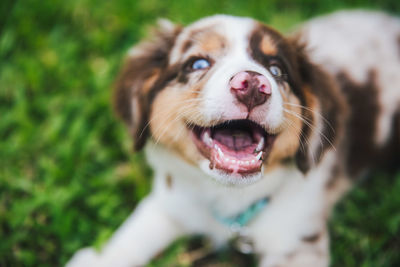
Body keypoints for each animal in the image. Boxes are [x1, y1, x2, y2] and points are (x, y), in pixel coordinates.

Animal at [68, 9, 400, 266]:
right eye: (197, 63)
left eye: (277, 69)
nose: (252, 85)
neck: (228, 197)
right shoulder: (171, 199)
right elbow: (136, 230)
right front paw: (99, 259)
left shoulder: (298, 242)